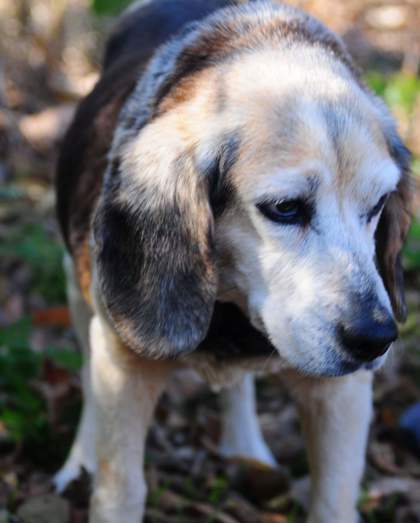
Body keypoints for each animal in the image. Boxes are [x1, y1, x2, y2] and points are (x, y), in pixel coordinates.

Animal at [54, 2, 412, 520]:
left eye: (379, 203)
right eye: (285, 208)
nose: (376, 338)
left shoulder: (341, 395)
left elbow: (334, 498)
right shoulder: (123, 366)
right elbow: (120, 490)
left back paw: (245, 449)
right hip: (78, 290)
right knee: (86, 375)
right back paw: (78, 463)